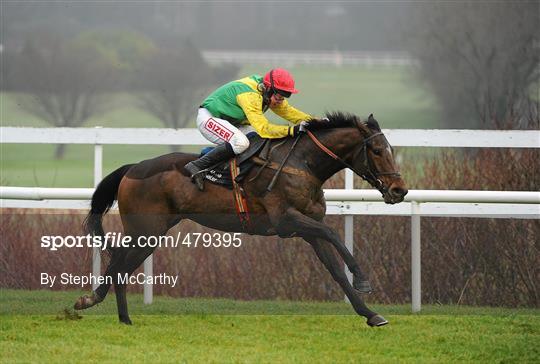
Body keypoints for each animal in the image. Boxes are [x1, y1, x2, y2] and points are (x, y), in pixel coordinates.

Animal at [74, 111, 408, 328]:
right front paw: (363, 279)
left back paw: (124, 318)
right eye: (376, 150)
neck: (303, 164)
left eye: (391, 149)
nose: (400, 190)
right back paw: (90, 302)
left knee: (121, 264)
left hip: (150, 234)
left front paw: (371, 314)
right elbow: (334, 234)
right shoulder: (286, 221)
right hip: (146, 231)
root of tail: (132, 168)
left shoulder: (307, 229)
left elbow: (335, 269)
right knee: (119, 262)